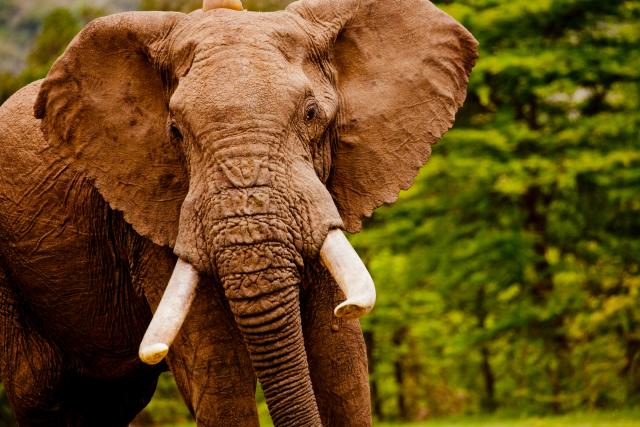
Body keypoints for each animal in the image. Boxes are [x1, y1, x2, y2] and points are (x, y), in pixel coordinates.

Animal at [0, 0, 477, 425]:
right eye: (175, 131)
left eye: (311, 114)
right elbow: (219, 367)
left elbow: (341, 363)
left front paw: (340, 319)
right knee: (42, 396)